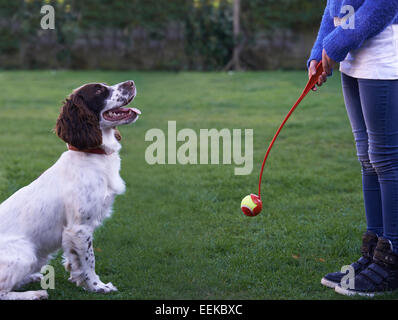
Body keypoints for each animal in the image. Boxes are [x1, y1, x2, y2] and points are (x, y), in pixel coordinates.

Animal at [0, 80, 141, 300]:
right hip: (25, 254)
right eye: (99, 90)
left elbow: (76, 260)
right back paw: (35, 294)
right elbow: (89, 260)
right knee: (3, 292)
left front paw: (79, 279)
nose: (131, 82)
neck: (92, 155)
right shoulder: (80, 227)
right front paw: (97, 286)